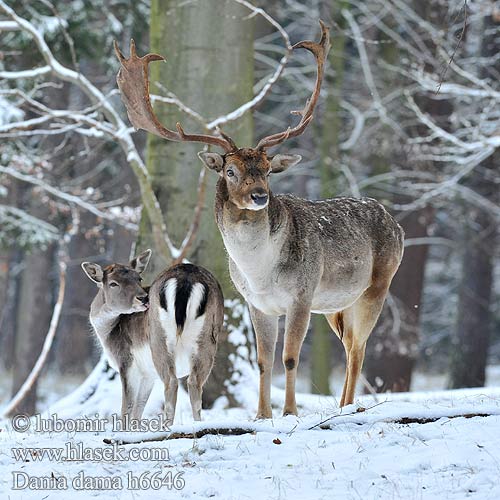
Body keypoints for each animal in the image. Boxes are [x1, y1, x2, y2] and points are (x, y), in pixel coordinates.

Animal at [81, 250, 223, 426]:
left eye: (139, 278)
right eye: (113, 283)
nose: (143, 298)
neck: (107, 333)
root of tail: (186, 279)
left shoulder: (126, 361)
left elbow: (127, 407)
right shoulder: (148, 375)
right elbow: (139, 409)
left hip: (159, 341)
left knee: (172, 382)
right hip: (207, 340)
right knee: (194, 383)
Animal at [115, 20, 404, 418]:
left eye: (267, 169)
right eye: (231, 170)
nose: (259, 195)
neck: (261, 273)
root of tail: (397, 223)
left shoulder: (301, 295)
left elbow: (290, 357)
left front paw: (289, 413)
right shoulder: (257, 303)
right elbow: (264, 359)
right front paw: (262, 414)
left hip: (377, 285)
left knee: (359, 347)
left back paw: (348, 407)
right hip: (336, 305)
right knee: (349, 346)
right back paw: (344, 405)